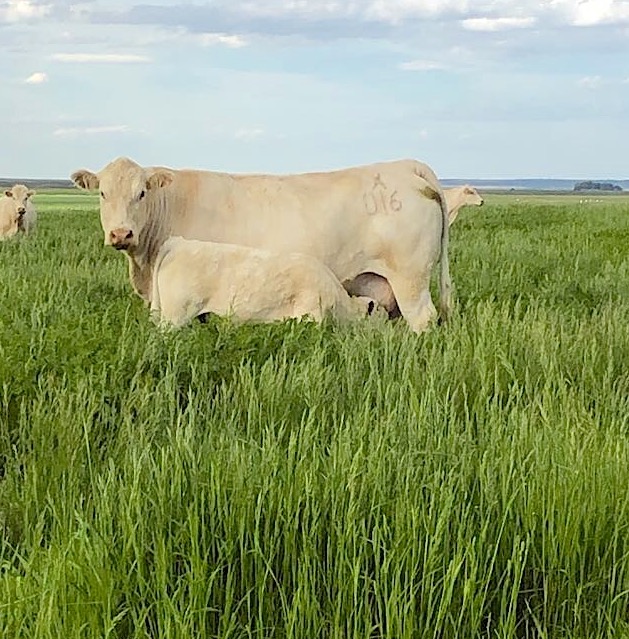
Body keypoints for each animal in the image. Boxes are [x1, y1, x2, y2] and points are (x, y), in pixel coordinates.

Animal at [71, 156, 448, 336]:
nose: (121, 234)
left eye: (141, 193)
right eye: (102, 193)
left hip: (411, 279)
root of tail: (407, 167)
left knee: (424, 320)